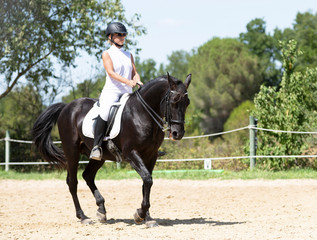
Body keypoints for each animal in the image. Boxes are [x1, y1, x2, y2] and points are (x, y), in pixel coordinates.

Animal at [32, 73, 190, 227]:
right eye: (174, 101)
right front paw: (140, 214)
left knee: (88, 175)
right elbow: (147, 179)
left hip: (99, 157)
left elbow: (146, 183)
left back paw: (101, 210)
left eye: (187, 102)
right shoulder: (131, 153)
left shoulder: (151, 156)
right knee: (72, 182)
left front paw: (147, 217)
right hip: (72, 152)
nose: (178, 133)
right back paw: (83, 217)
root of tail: (67, 107)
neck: (142, 113)